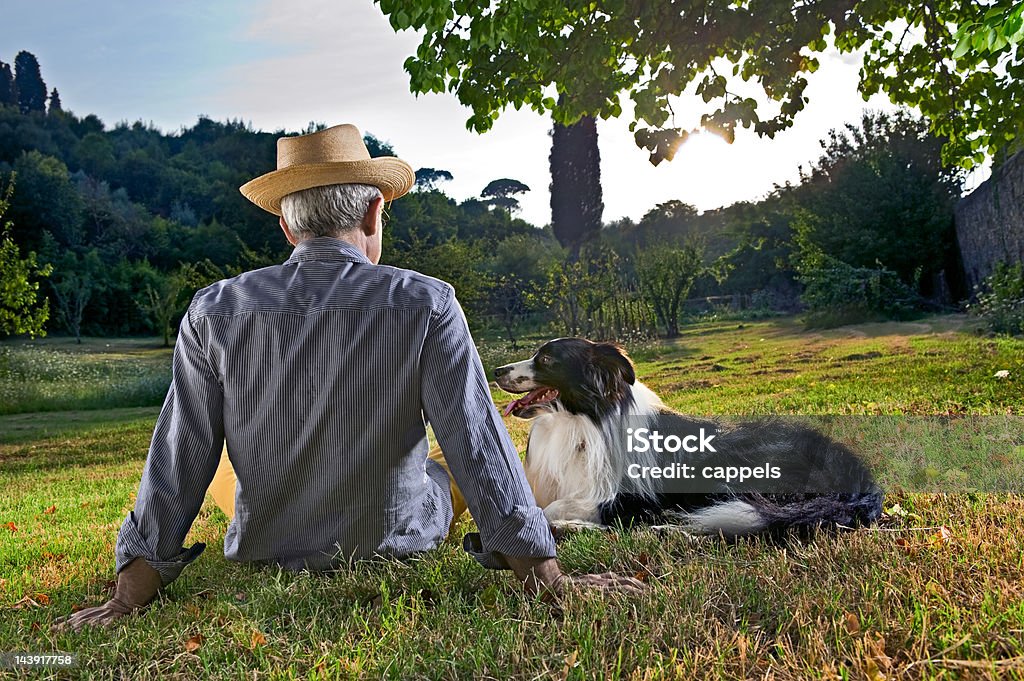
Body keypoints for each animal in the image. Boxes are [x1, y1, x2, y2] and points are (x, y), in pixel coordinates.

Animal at [493, 337, 880, 532]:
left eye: (546, 360)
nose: (496, 370)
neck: (583, 422)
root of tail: (856, 471)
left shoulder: (631, 498)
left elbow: (558, 507)